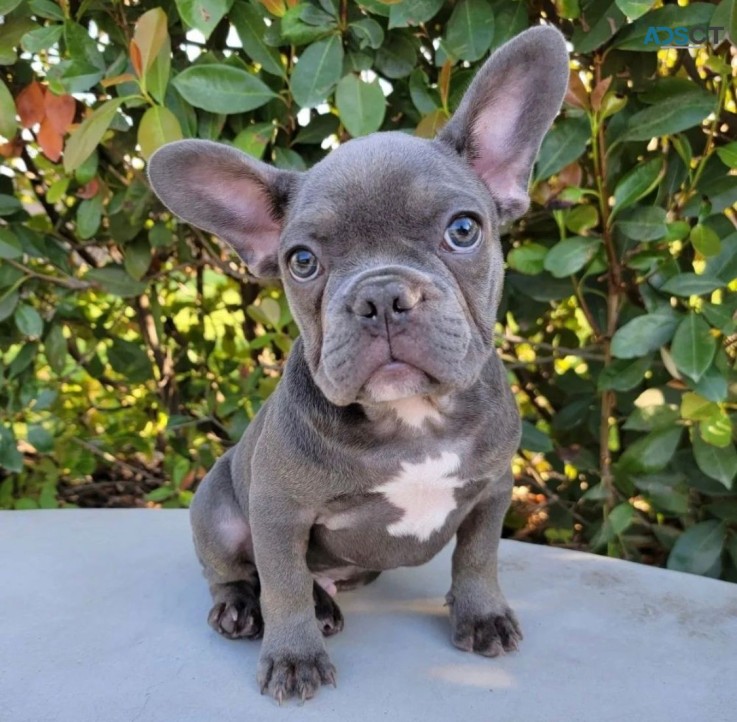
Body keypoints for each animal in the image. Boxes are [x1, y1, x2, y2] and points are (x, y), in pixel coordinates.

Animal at [147, 26, 568, 704]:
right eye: (302, 262)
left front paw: (481, 615)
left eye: (463, 229)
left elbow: (478, 558)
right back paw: (248, 609)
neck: (412, 419)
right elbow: (283, 583)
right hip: (216, 507)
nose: (382, 295)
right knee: (242, 572)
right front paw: (294, 656)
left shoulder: (492, 490)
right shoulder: (278, 511)